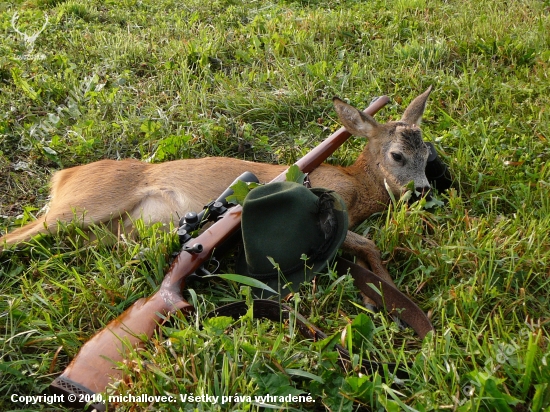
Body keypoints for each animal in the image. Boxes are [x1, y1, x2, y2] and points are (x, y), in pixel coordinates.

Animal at [2, 87, 438, 288]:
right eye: (398, 155)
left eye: (427, 150)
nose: (423, 191)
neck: (356, 184)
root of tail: (62, 177)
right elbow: (369, 244)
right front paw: (389, 286)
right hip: (82, 205)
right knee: (14, 235)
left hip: (96, 230)